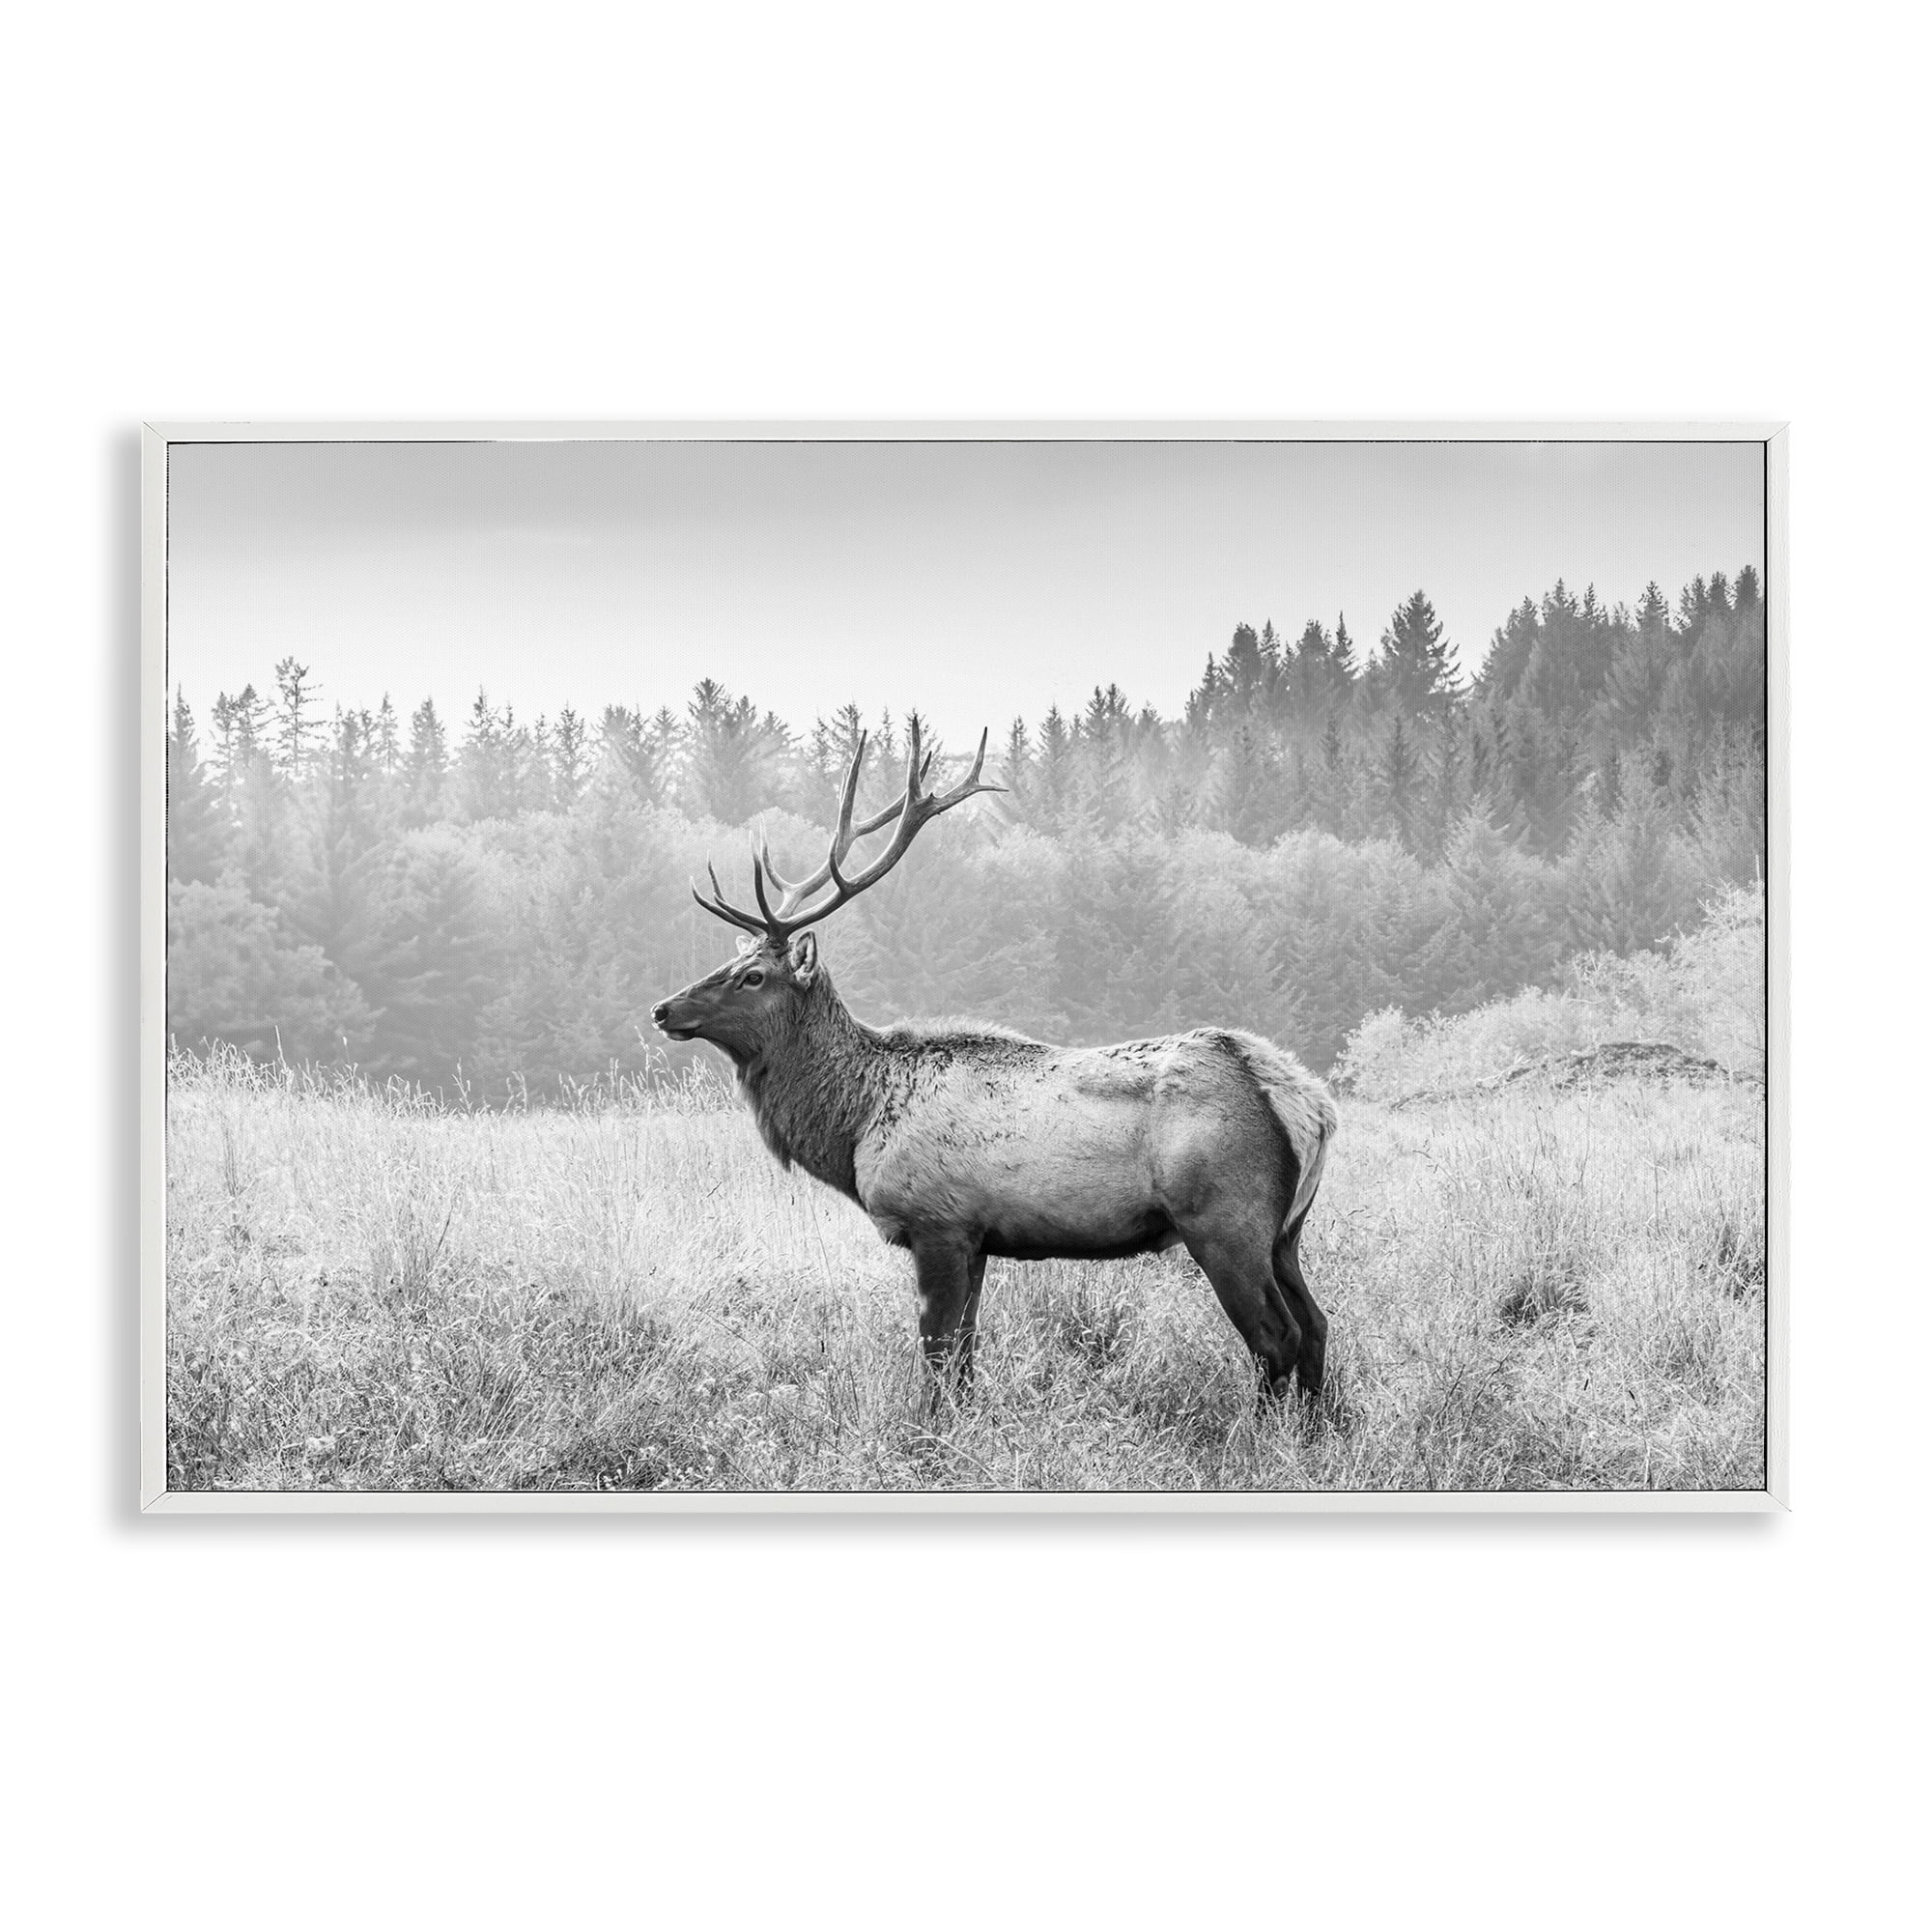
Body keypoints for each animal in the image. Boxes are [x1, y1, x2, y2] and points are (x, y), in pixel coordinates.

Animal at [650, 719, 1338, 1408]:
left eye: (752, 976)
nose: (662, 1009)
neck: (857, 1125)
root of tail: (1306, 1104)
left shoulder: (938, 1223)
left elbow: (936, 1355)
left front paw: (929, 1428)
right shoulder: (978, 1238)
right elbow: (964, 1356)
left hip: (1225, 1219)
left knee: (1276, 1336)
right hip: (1285, 1232)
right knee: (1317, 1324)